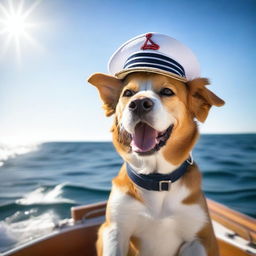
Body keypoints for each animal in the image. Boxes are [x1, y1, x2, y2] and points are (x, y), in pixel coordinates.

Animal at [88, 33, 224, 255]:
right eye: (128, 93)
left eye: (167, 92)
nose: (139, 103)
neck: (157, 181)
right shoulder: (115, 228)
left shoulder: (200, 238)